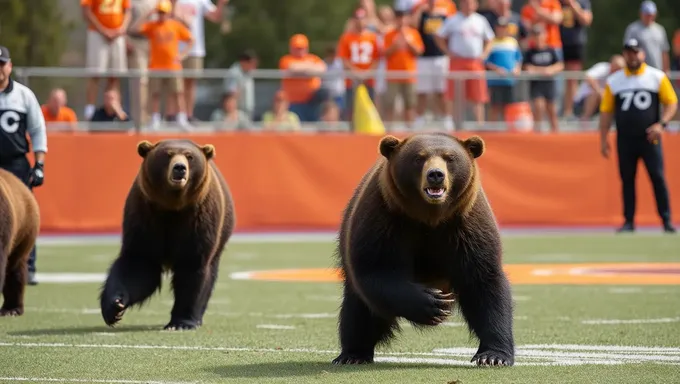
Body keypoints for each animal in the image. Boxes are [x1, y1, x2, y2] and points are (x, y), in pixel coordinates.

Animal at [98, 138, 236, 330]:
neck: (172, 206)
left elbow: (192, 268)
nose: (180, 167)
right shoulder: (145, 218)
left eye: (190, 156)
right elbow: (138, 265)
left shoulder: (198, 220)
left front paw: (181, 322)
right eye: (168, 154)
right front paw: (114, 306)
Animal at [334, 134, 516, 368]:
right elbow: (376, 270)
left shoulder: (467, 225)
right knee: (358, 310)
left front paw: (493, 355)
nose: (435, 175)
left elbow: (484, 282)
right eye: (418, 158)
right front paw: (432, 303)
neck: (429, 217)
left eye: (450, 158)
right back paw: (353, 353)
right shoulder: (384, 218)